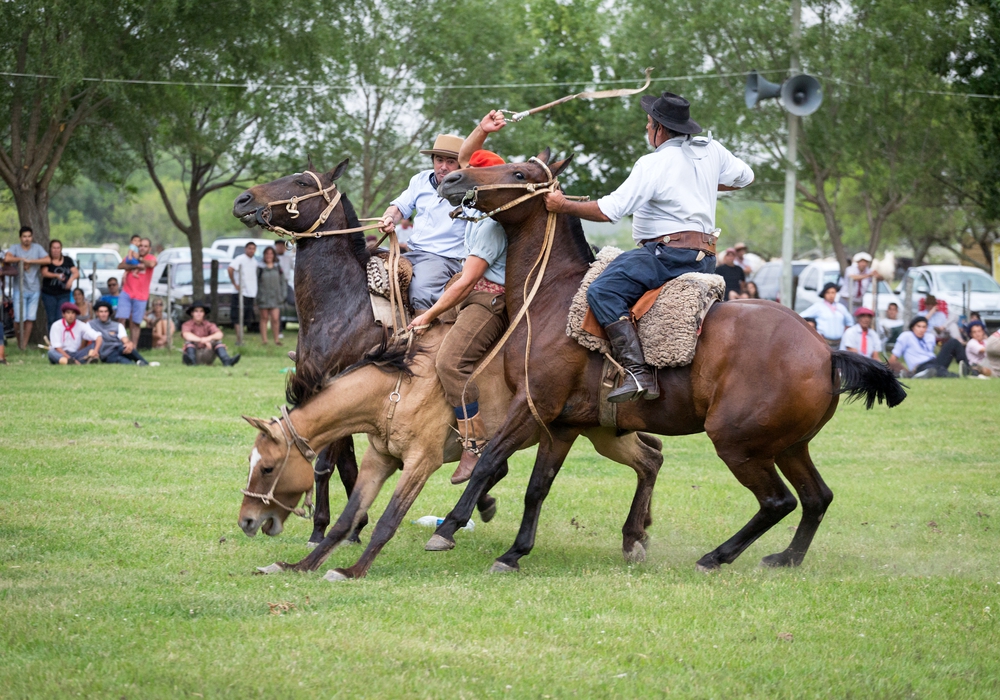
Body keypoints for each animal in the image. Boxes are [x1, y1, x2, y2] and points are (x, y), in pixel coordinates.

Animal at [239, 326, 668, 576]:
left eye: (268, 468)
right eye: (251, 463)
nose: (246, 521)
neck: (397, 389)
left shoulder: (419, 464)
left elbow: (387, 521)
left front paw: (352, 571)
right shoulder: (380, 460)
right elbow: (348, 519)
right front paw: (299, 565)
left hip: (589, 432)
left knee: (651, 457)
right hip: (605, 434)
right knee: (652, 457)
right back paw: (639, 534)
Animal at [426, 150, 912, 572]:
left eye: (520, 173)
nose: (451, 180)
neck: (550, 295)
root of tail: (825, 351)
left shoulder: (533, 405)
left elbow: (490, 459)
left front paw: (449, 528)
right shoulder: (560, 424)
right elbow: (537, 487)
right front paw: (514, 552)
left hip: (739, 444)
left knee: (779, 501)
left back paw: (716, 557)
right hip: (790, 445)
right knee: (816, 498)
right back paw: (785, 558)